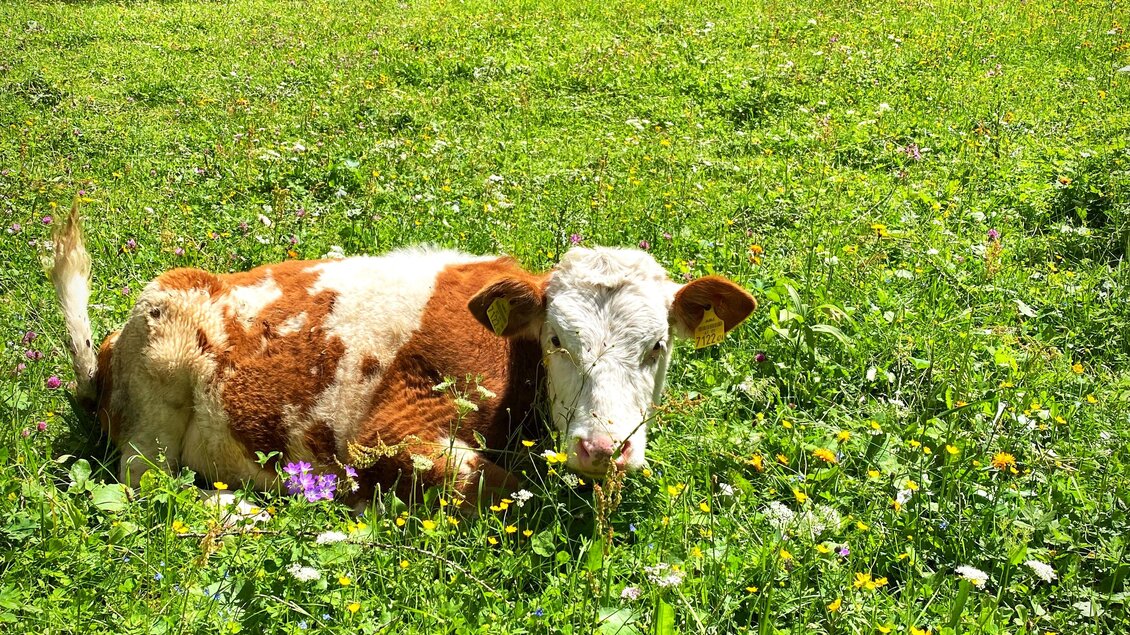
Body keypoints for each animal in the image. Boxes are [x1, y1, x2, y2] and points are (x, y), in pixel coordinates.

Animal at [51, 205, 756, 508]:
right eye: (558, 340)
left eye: (658, 347)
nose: (605, 448)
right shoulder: (389, 432)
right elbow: (506, 485)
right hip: (151, 412)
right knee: (149, 488)